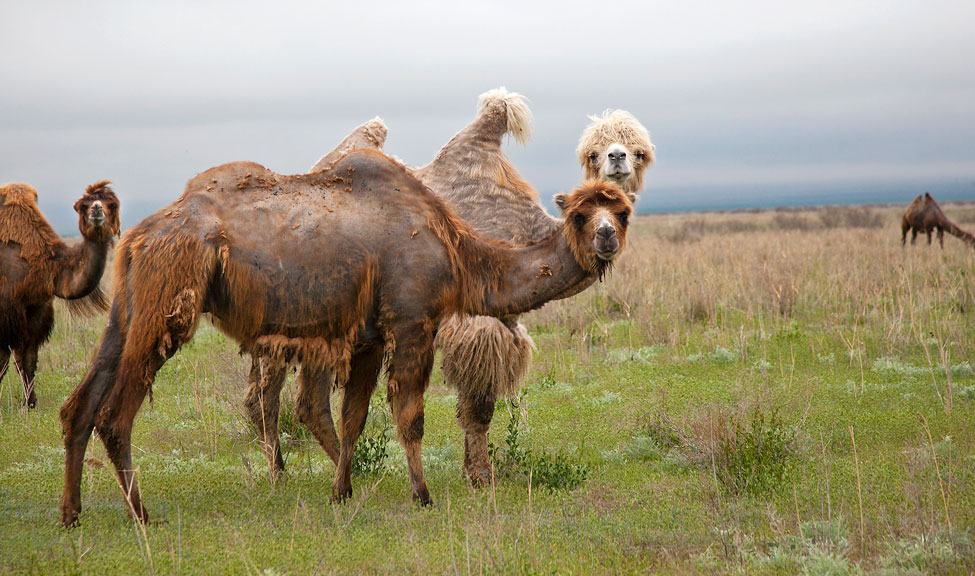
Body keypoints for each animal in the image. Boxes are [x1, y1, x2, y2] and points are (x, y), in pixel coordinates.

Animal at [0, 182, 121, 408]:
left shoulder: (37, 307)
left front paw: (31, 403)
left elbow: (27, 358)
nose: (96, 210)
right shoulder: (7, 309)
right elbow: (4, 360)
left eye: (112, 204)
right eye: (83, 206)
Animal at [59, 148, 632, 528]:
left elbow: (353, 414)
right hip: (168, 294)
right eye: (580, 214)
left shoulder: (369, 335)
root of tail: (138, 233)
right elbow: (409, 415)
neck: (457, 255)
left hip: (129, 303)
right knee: (115, 414)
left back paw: (71, 512)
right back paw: (142, 513)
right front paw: (422, 495)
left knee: (79, 405)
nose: (605, 237)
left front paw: (342, 491)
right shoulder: (412, 319)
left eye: (623, 212)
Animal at [244, 89, 656, 486]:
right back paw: (305, 472)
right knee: (273, 394)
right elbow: (479, 406)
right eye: (592, 153)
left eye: (640, 152)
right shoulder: (473, 322)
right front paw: (482, 476)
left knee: (292, 397)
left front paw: (469, 469)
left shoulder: (503, 319)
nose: (617, 158)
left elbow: (474, 403)